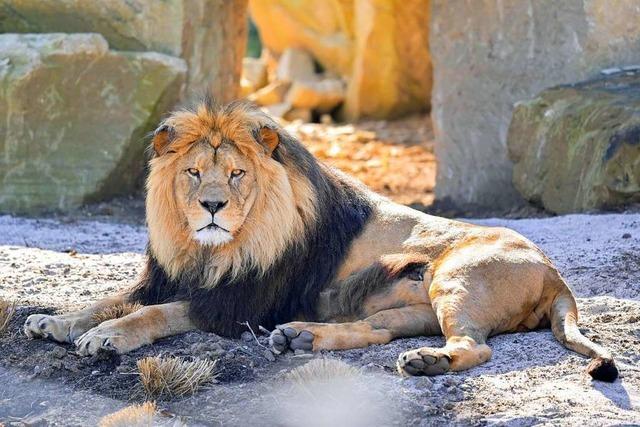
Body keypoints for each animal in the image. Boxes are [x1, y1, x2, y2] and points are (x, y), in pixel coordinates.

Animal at [22, 99, 616, 382]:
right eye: (193, 173)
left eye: (235, 175)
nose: (212, 206)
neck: (208, 250)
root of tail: (557, 273)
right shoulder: (165, 277)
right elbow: (107, 298)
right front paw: (53, 320)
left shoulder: (241, 304)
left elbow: (154, 315)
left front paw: (106, 338)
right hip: (416, 305)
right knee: (378, 330)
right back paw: (305, 339)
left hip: (457, 275)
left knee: (477, 347)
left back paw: (426, 362)